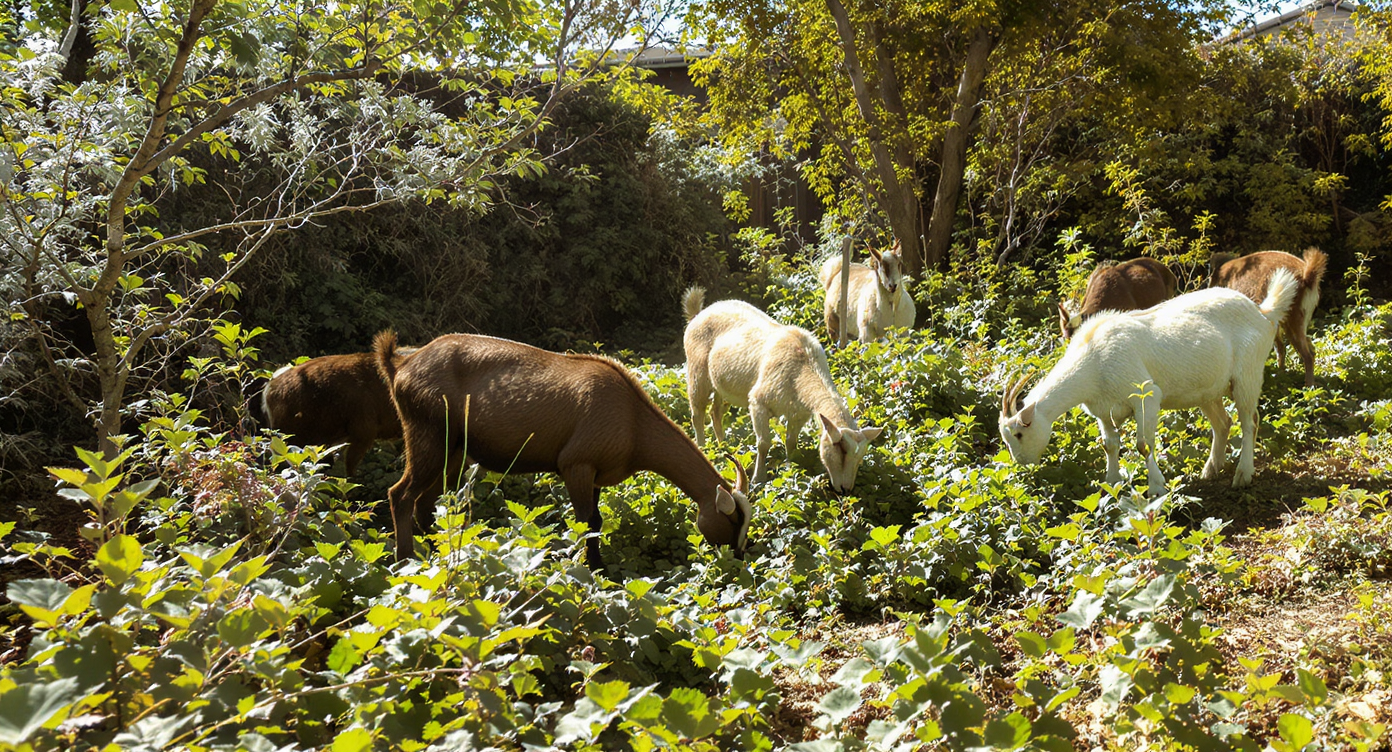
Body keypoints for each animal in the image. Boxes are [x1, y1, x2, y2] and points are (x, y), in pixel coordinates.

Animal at [374, 330, 752, 566]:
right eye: (732, 520)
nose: (739, 558)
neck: (632, 418)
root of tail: (400, 364)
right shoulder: (576, 465)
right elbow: (587, 521)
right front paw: (596, 570)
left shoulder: (597, 474)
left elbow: (597, 520)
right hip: (428, 437)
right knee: (400, 494)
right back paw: (406, 560)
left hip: (453, 450)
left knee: (425, 502)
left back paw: (438, 554)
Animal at [682, 287, 883, 491]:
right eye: (840, 450)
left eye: (860, 457)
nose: (845, 490)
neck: (803, 368)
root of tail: (699, 313)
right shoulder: (758, 402)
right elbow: (763, 443)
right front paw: (758, 479)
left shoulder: (798, 414)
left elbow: (791, 443)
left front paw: (789, 469)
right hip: (697, 372)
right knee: (697, 414)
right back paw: (703, 448)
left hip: (720, 384)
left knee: (715, 412)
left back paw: (723, 446)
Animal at [1000, 269, 1299, 495]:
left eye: (1020, 433)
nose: (1022, 463)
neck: (1092, 360)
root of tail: (1263, 313)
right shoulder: (1102, 411)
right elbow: (1109, 444)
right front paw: (1111, 483)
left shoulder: (1146, 397)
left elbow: (1144, 445)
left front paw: (1157, 487)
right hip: (1206, 389)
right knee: (1223, 423)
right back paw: (1210, 470)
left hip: (1248, 375)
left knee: (1250, 422)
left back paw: (1243, 474)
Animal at [1210, 248, 1327, 388]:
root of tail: (1307, 277)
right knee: (1300, 347)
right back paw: (1281, 376)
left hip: (1292, 318)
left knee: (1305, 353)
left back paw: (1308, 387)